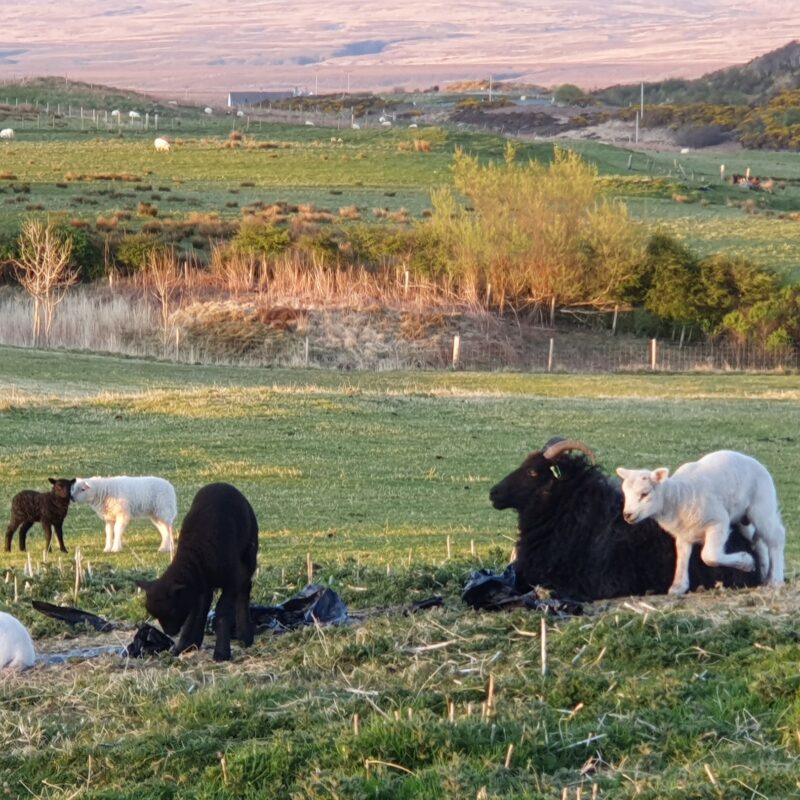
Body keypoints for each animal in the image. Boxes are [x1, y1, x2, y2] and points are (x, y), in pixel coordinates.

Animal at [136, 482, 258, 661]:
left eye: (172, 609)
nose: (169, 632)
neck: (196, 554)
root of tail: (221, 484)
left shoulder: (232, 579)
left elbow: (222, 612)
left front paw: (221, 653)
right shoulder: (198, 585)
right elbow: (195, 613)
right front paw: (183, 646)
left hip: (249, 555)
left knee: (244, 590)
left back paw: (245, 635)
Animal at [617, 450, 785, 595]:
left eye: (644, 494)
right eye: (626, 493)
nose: (627, 515)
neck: (678, 497)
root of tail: (753, 460)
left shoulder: (718, 522)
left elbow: (709, 556)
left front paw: (746, 562)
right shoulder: (684, 534)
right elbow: (682, 558)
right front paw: (678, 586)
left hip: (762, 506)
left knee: (776, 538)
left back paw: (776, 579)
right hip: (744, 520)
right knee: (759, 543)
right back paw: (764, 575)